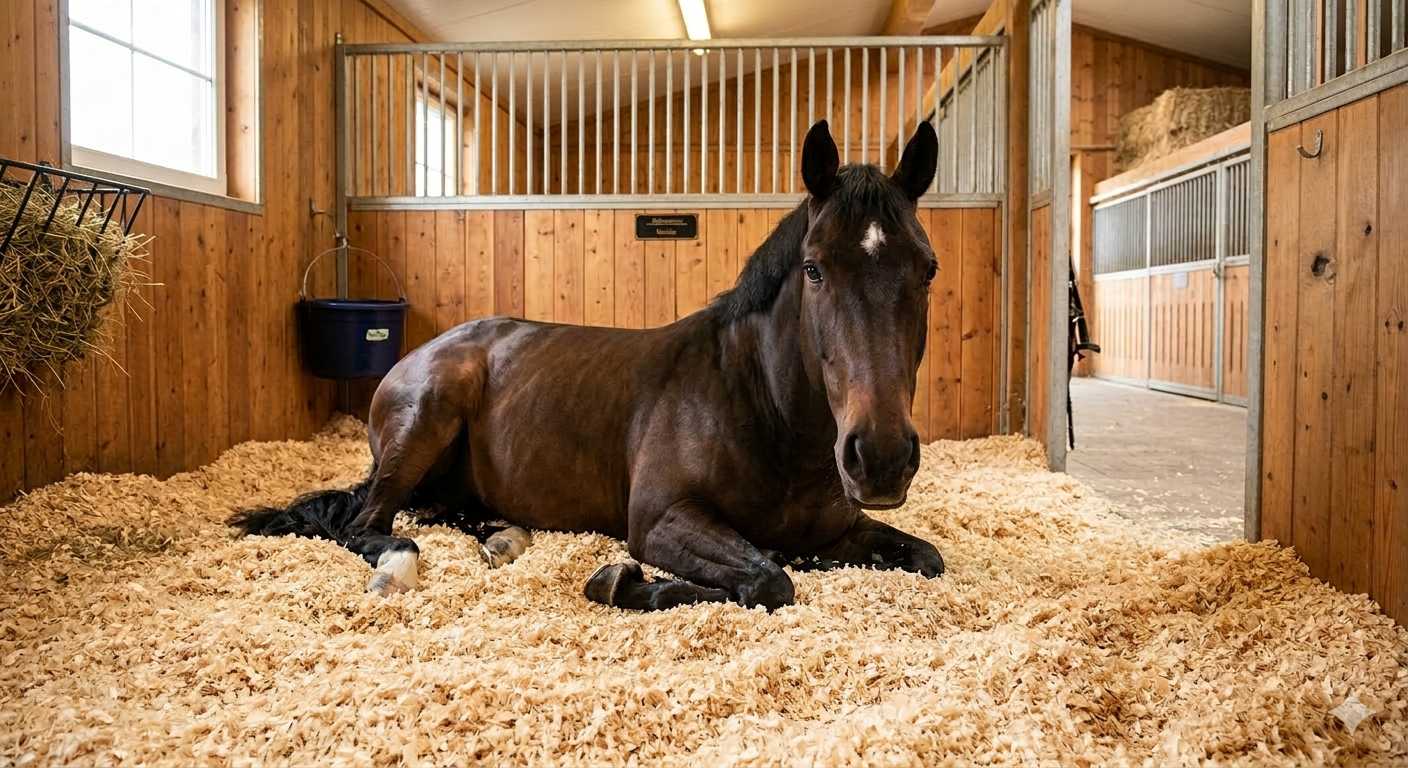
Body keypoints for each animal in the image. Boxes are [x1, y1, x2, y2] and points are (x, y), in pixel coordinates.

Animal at [232, 119, 946, 611]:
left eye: (928, 271)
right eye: (814, 268)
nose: (880, 458)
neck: (762, 408)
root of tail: (424, 354)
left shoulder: (844, 529)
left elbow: (925, 557)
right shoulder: (662, 521)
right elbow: (769, 579)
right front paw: (621, 582)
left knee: (448, 512)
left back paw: (503, 540)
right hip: (425, 420)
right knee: (372, 526)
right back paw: (397, 570)